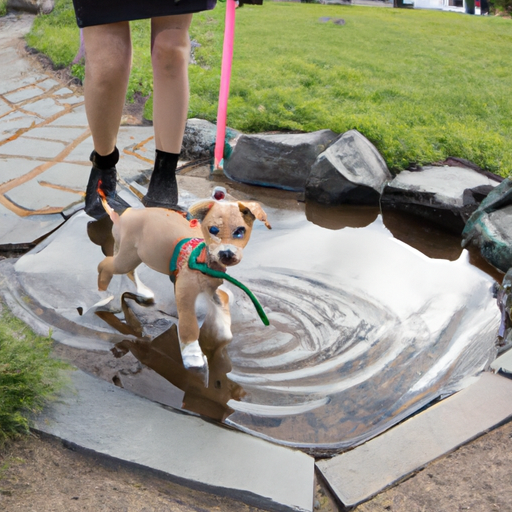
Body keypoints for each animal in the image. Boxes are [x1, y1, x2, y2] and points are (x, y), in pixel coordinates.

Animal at [97, 194, 272, 370]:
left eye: (240, 232)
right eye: (213, 230)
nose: (226, 254)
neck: (202, 262)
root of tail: (126, 214)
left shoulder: (213, 291)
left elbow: (222, 310)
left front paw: (220, 337)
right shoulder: (184, 294)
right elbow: (189, 325)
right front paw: (193, 357)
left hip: (133, 256)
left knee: (128, 272)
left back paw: (143, 291)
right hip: (127, 256)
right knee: (105, 266)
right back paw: (104, 296)